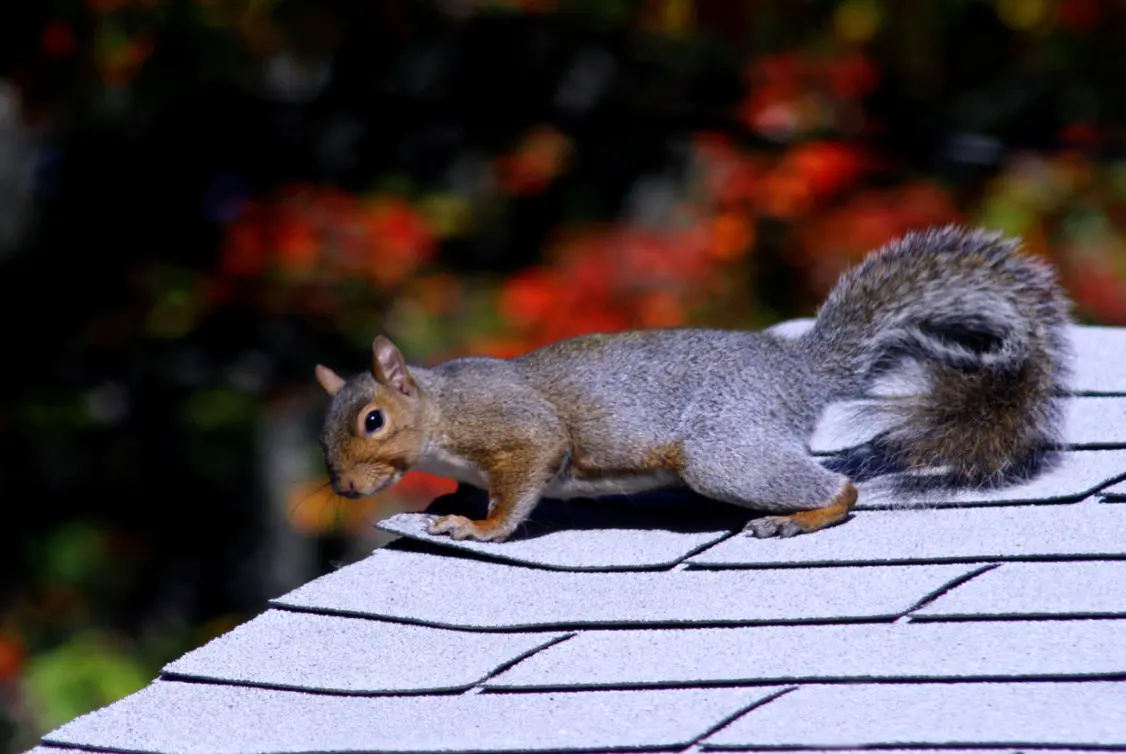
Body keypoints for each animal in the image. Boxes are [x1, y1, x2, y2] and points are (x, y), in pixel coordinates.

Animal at [314, 225, 1072, 542]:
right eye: (327, 433)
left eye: (373, 420)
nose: (345, 488)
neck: (441, 411)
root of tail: (795, 373)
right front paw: (450, 499)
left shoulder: (517, 428)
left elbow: (524, 476)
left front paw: (480, 526)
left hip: (721, 449)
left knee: (840, 488)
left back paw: (799, 517)